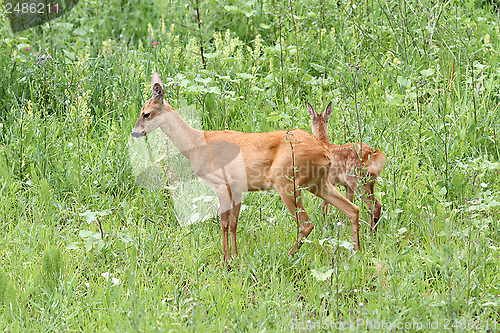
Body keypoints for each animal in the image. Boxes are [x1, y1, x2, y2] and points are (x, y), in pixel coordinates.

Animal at [129, 72, 364, 262]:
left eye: (146, 113)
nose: (134, 132)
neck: (196, 143)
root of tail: (324, 150)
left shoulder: (221, 183)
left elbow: (223, 222)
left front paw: (226, 260)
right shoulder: (238, 187)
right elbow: (234, 223)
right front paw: (235, 256)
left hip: (285, 181)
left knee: (307, 224)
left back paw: (288, 256)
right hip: (318, 183)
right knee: (352, 209)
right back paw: (356, 252)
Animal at [306, 101, 384, 233]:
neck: (324, 143)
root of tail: (375, 155)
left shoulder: (326, 181)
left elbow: (324, 207)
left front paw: (323, 227)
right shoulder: (346, 187)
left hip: (356, 180)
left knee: (376, 205)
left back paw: (371, 234)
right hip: (371, 182)